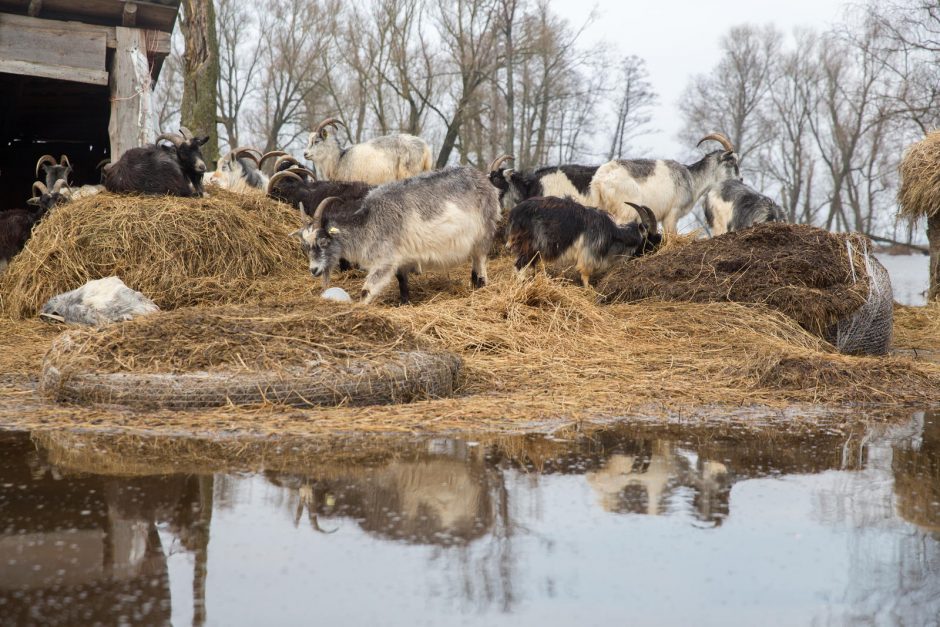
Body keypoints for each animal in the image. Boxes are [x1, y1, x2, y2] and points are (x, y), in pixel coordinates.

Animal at [294, 167, 500, 304]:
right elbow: (402, 280)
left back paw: (481, 285)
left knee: (480, 261)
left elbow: (366, 291)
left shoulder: (385, 260)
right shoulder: (401, 257)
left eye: (323, 241)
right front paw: (405, 301)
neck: (369, 222)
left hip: (483, 234)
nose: (314, 270)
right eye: (305, 245)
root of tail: (484, 180)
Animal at [506, 199, 660, 288]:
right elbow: (585, 274)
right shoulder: (589, 253)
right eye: (650, 241)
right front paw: (588, 289)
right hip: (530, 245)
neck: (614, 235)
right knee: (520, 265)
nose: (654, 253)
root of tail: (515, 213)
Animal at [588, 132, 740, 233]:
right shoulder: (671, 215)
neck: (691, 178)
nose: (740, 180)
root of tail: (599, 179)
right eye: (732, 162)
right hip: (626, 212)